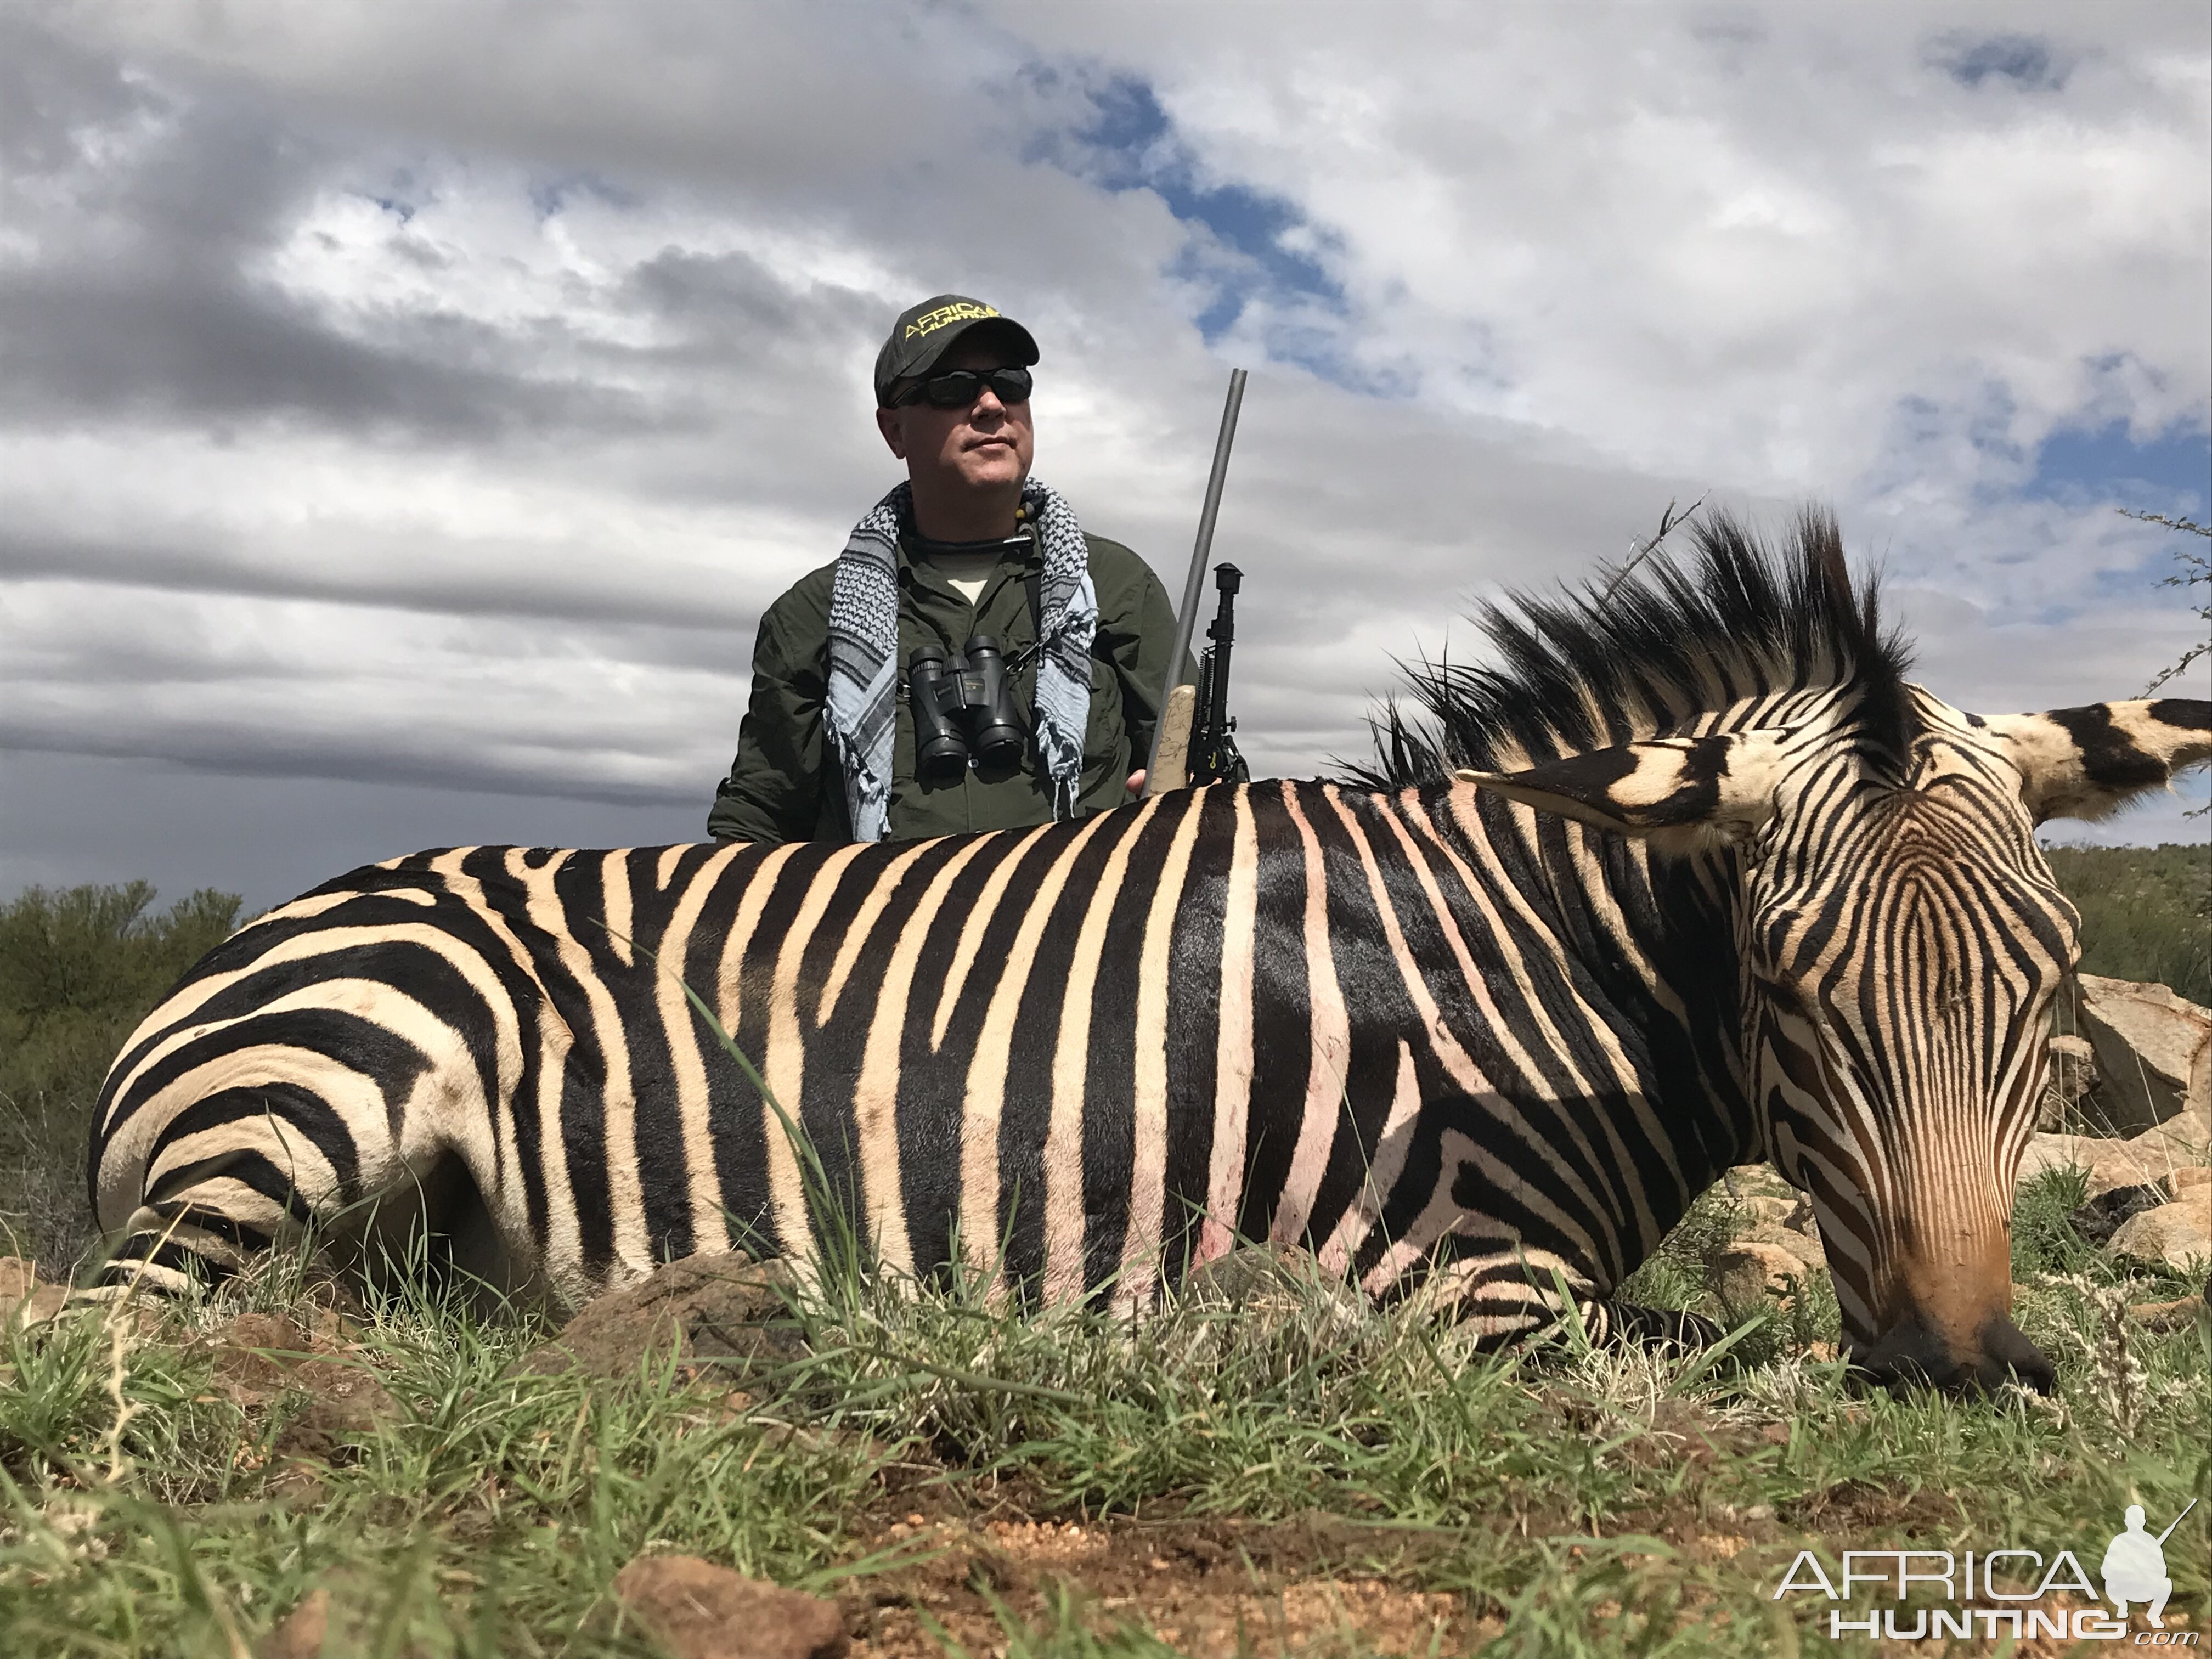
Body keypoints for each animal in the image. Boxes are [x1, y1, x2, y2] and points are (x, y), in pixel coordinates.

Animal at [86, 513, 2212, 1398]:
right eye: (1786, 990)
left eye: (2044, 997)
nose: (1964, 1365)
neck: (1518, 964)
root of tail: (259, 925)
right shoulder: (1470, 1281)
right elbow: (1714, 1362)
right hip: (313, 1101)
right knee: (125, 1316)